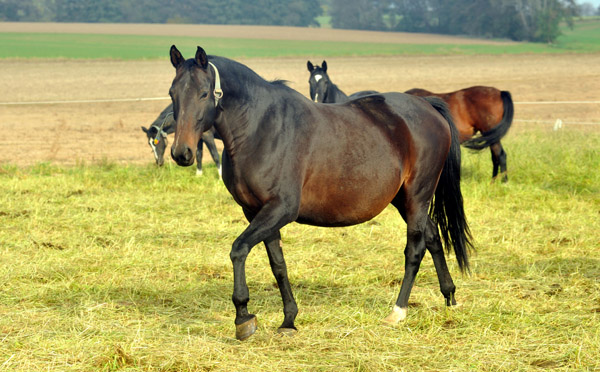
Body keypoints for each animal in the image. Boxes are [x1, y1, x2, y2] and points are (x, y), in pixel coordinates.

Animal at [166, 45, 472, 340]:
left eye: (204, 93)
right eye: (172, 93)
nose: (182, 153)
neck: (261, 129)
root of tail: (428, 106)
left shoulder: (280, 209)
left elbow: (239, 249)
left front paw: (243, 318)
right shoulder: (255, 212)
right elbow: (278, 264)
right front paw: (289, 320)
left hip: (417, 197)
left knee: (415, 249)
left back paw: (398, 312)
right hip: (404, 200)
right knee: (433, 236)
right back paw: (450, 298)